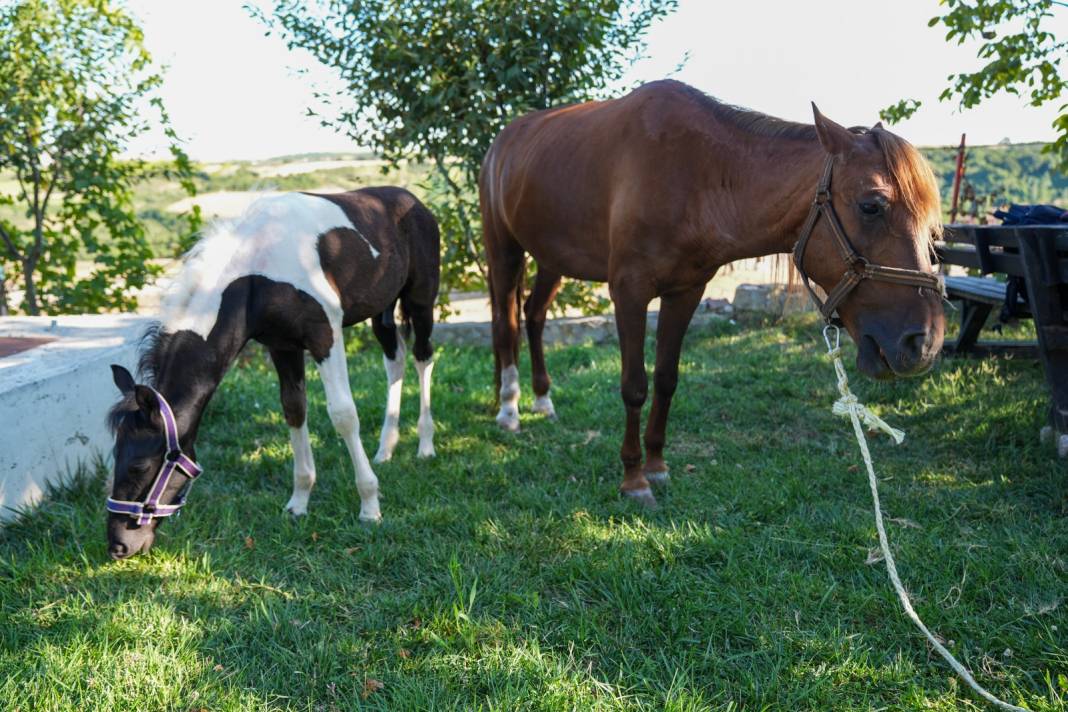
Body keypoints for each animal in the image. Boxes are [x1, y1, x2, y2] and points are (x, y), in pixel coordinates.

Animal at [106, 188, 440, 563]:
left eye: (139, 466)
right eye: (115, 456)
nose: (117, 545)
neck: (258, 274)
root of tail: (412, 199)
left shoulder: (326, 337)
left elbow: (343, 415)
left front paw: (369, 506)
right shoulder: (282, 346)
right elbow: (294, 410)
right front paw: (299, 502)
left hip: (421, 300)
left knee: (422, 356)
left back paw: (425, 445)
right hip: (381, 309)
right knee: (394, 360)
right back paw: (386, 448)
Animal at [482, 80, 944, 505]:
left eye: (932, 225)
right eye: (872, 206)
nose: (923, 343)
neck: (697, 173)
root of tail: (502, 141)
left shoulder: (686, 292)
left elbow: (666, 379)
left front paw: (657, 465)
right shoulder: (629, 293)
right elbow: (634, 385)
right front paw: (633, 479)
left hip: (551, 260)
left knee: (533, 315)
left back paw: (542, 399)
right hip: (504, 252)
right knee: (506, 325)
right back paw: (508, 407)